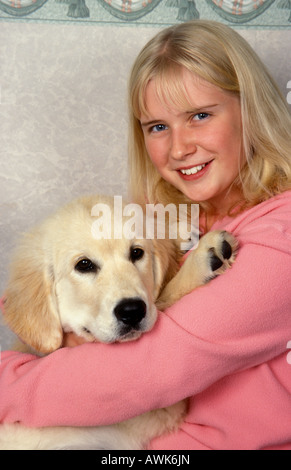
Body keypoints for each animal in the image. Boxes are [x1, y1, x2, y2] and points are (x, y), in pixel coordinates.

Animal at [0, 194, 238, 448]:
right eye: (83, 265)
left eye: (136, 253)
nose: (132, 311)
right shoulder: (151, 410)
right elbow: (166, 297)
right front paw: (202, 258)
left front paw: (175, 230)